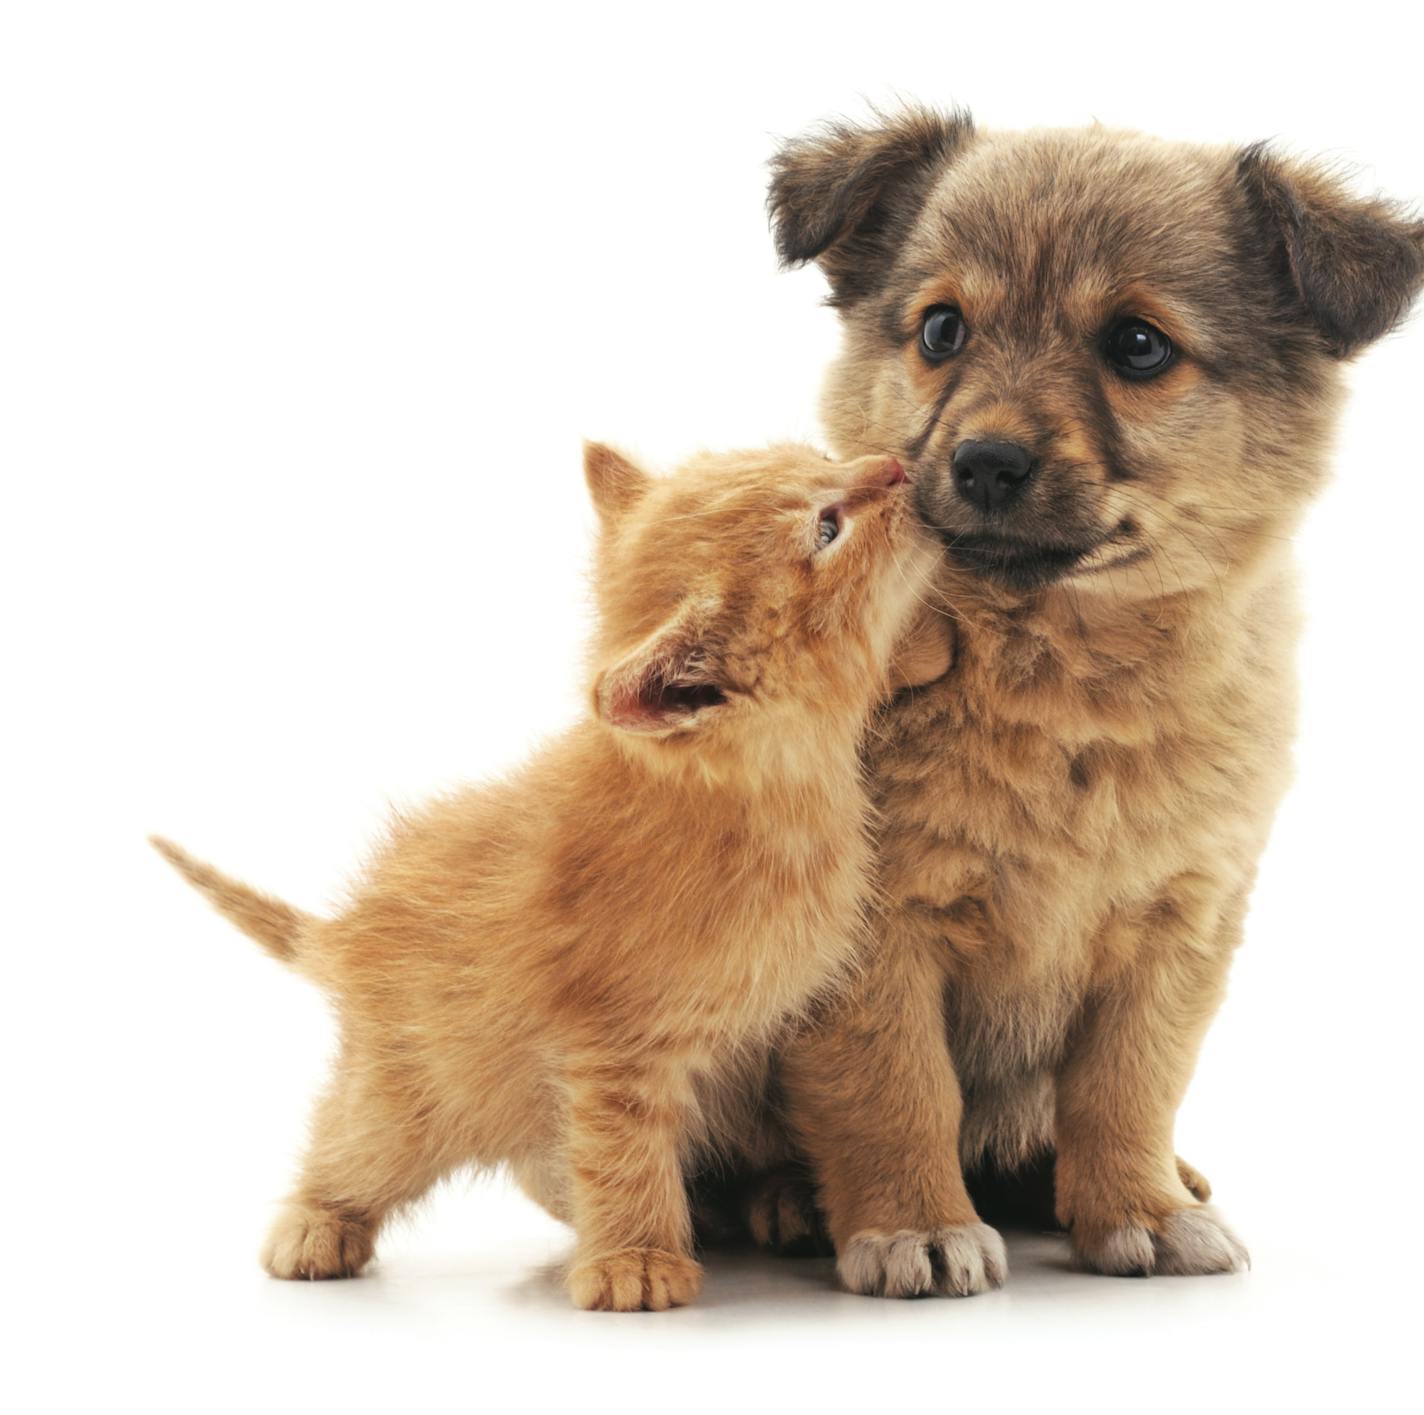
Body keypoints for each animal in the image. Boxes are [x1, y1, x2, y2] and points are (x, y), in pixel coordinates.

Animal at [155, 444, 939, 1315]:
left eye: (821, 458)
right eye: (826, 528)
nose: (895, 465)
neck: (777, 789)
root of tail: (349, 934)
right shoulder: (609, 1039)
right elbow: (619, 1148)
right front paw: (634, 1260)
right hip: (411, 1085)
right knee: (355, 1141)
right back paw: (314, 1225)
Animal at [763, 107, 1418, 1292]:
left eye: (1138, 346)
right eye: (941, 331)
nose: (984, 462)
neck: (1058, 670)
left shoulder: (1175, 927)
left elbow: (1128, 1083)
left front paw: (1138, 1207)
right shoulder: (874, 935)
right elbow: (895, 1084)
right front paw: (914, 1222)